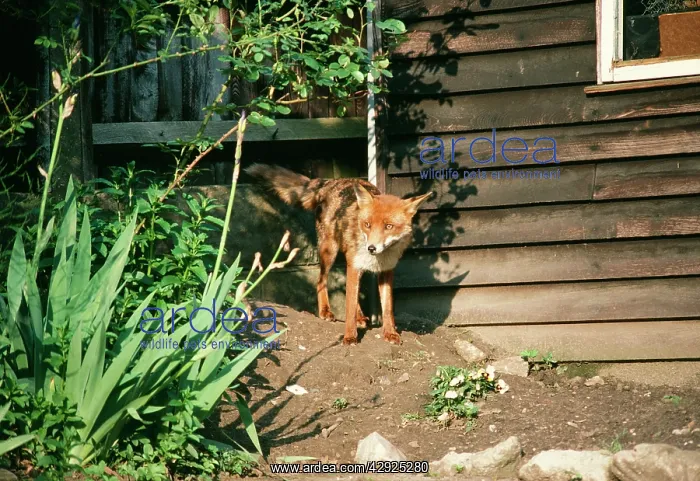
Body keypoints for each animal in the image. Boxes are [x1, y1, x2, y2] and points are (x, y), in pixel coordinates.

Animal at [246, 163, 433, 345]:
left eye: (389, 226)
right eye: (367, 224)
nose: (371, 248)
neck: (380, 258)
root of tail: (331, 182)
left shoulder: (386, 271)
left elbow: (387, 308)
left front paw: (390, 333)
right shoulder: (355, 265)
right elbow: (348, 307)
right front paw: (349, 337)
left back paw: (360, 317)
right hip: (329, 251)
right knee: (321, 281)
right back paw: (325, 311)